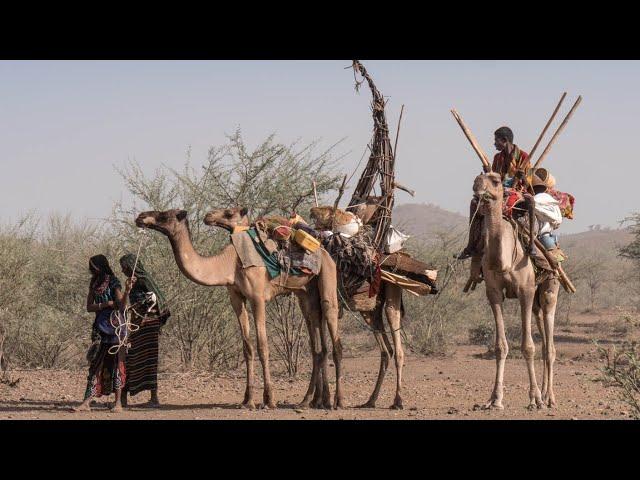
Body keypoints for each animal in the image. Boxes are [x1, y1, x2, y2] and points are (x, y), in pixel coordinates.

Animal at [136, 208, 342, 410]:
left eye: (164, 215)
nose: (141, 217)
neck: (229, 264)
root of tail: (324, 252)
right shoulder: (236, 297)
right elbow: (247, 347)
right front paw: (247, 400)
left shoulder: (258, 297)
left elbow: (262, 347)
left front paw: (269, 400)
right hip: (306, 295)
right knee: (318, 345)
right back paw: (313, 401)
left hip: (328, 278)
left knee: (333, 333)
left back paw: (336, 402)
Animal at [202, 206, 408, 408]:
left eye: (229, 213)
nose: (208, 216)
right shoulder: (306, 303)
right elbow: (318, 349)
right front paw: (315, 399)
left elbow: (318, 349)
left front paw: (316, 399)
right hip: (369, 310)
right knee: (385, 350)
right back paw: (369, 401)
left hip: (388, 293)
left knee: (393, 344)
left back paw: (394, 401)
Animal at [470, 172, 560, 408]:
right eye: (476, 179)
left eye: (496, 180)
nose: (478, 189)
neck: (504, 260)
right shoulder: (493, 292)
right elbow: (500, 346)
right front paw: (495, 399)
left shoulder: (525, 291)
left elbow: (528, 347)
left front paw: (534, 399)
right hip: (536, 303)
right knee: (544, 340)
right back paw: (545, 394)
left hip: (549, 290)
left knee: (550, 347)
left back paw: (549, 398)